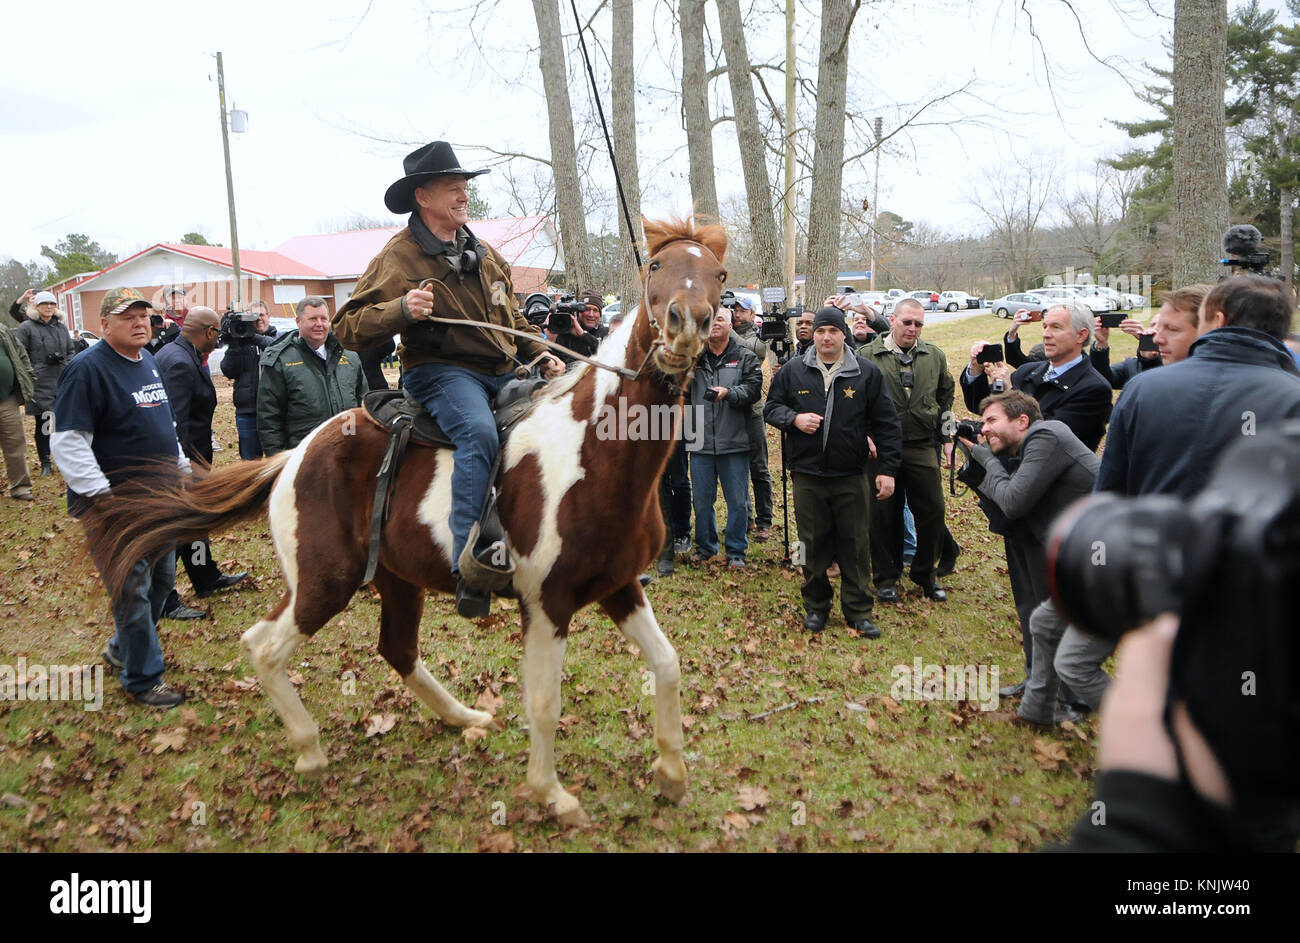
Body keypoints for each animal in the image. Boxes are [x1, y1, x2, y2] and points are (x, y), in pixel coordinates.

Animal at [100, 214, 728, 822]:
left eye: (718, 275)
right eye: (654, 267)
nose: (686, 326)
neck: (590, 454)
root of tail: (294, 455)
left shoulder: (617, 585)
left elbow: (667, 664)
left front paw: (672, 775)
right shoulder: (546, 602)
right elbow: (545, 702)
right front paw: (553, 796)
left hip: (391, 580)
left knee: (389, 648)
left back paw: (462, 717)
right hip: (326, 583)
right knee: (268, 647)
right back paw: (310, 752)